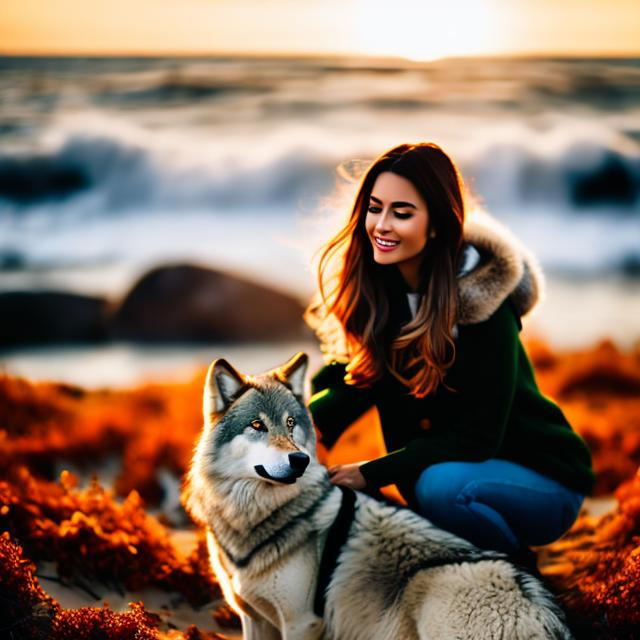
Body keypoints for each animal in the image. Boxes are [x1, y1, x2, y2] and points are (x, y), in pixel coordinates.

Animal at [184, 352, 568, 636]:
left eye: (291, 424)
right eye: (257, 425)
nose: (300, 459)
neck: (250, 515)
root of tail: (548, 612)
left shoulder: (302, 623)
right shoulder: (254, 618)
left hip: (430, 584)